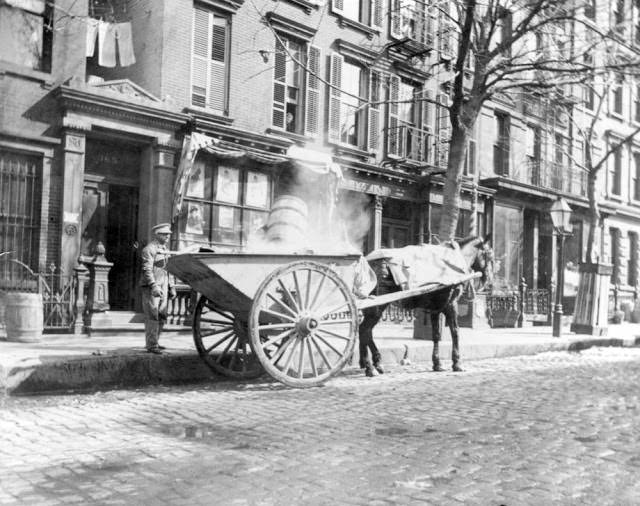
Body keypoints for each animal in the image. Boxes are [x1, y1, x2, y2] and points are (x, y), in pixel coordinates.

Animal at [358, 236, 492, 376]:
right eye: (489, 255)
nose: (488, 280)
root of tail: (368, 262)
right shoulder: (451, 305)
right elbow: (455, 332)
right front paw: (457, 363)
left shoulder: (435, 310)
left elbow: (436, 335)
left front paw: (437, 363)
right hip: (377, 306)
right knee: (364, 330)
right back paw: (370, 367)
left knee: (366, 332)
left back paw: (374, 363)